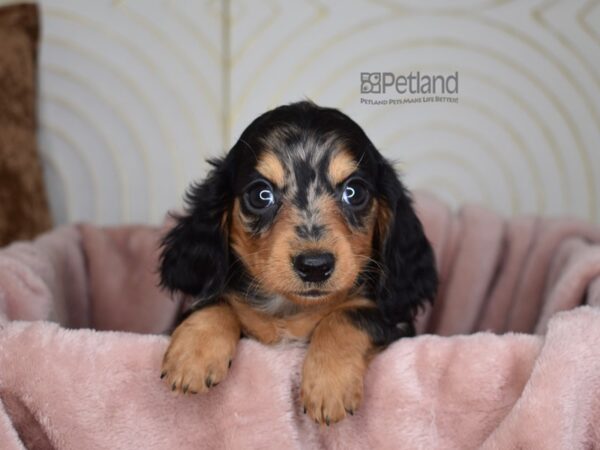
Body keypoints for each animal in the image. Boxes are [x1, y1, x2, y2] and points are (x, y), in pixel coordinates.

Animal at [158, 100, 436, 424]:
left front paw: (329, 384)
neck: (289, 311)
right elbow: (215, 301)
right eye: (260, 194)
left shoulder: (398, 322)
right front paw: (194, 354)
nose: (315, 266)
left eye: (354, 192)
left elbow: (348, 315)